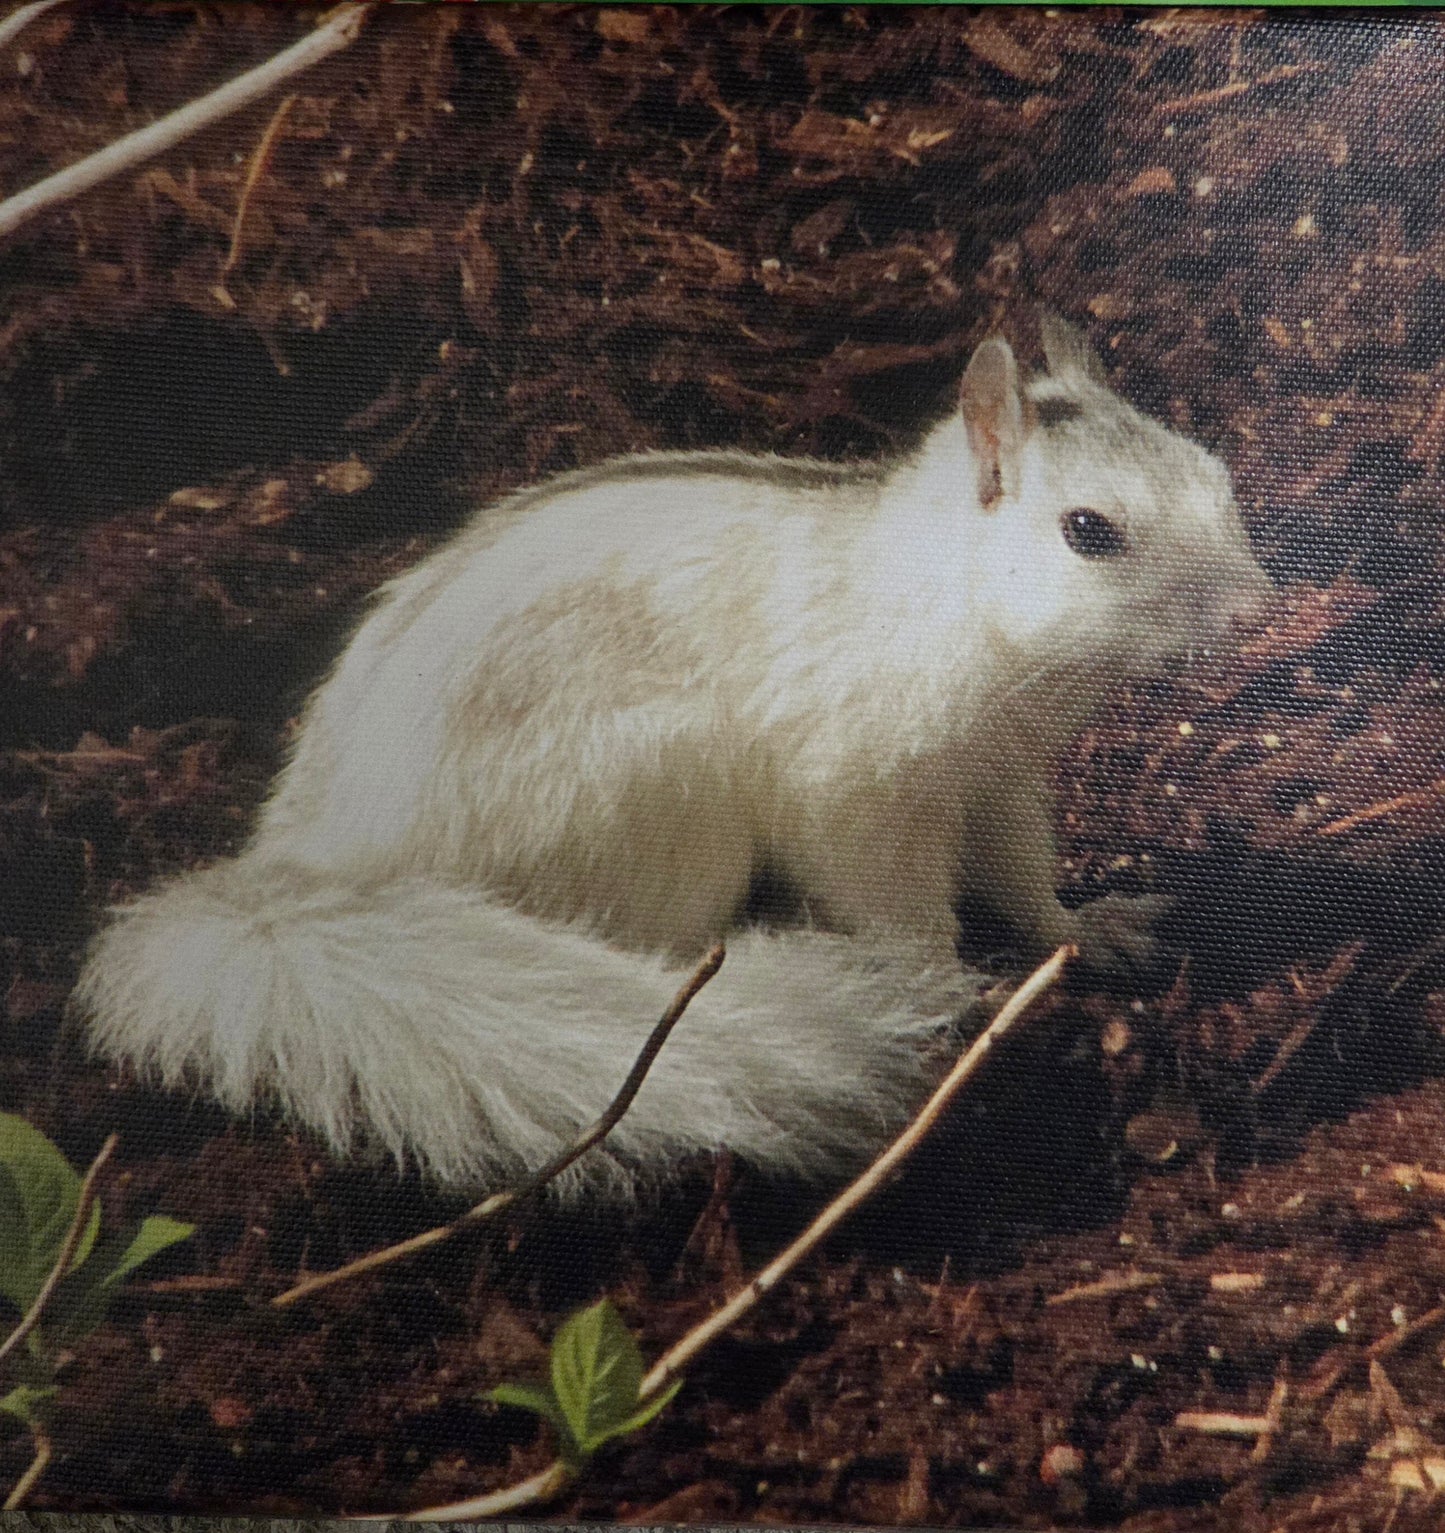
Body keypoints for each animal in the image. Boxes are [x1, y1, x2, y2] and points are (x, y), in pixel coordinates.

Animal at [73, 315, 1273, 1197]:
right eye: (1087, 531)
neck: (947, 600)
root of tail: (318, 867)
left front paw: (1087, 930)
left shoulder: (1003, 779)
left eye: (1217, 475)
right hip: (656, 805)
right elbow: (896, 910)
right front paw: (951, 992)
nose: (1260, 611)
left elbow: (1025, 880)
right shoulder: (849, 790)